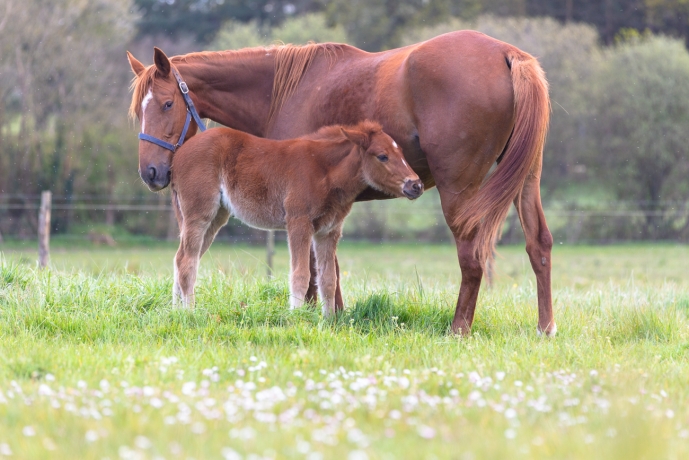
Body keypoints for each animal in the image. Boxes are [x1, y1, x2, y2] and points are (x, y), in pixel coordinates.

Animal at [169, 119, 422, 312]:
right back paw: (190, 313)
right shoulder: (299, 223)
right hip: (199, 214)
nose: (416, 185)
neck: (324, 171)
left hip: (216, 218)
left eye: (401, 152)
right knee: (187, 262)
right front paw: (296, 318)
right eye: (382, 156)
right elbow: (301, 275)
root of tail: (177, 157)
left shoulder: (329, 231)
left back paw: (176, 312)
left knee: (181, 258)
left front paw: (329, 322)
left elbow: (328, 279)